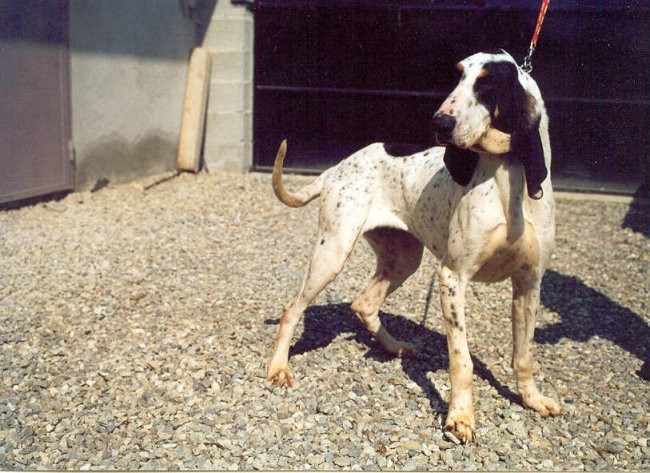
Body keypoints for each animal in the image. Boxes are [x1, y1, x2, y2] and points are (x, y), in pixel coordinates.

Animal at [266, 51, 561, 443]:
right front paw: (460, 417)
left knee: (364, 303)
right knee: (292, 308)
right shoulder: (452, 277)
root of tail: (337, 167)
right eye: (457, 76)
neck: (506, 174)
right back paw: (278, 367)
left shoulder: (529, 283)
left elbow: (524, 355)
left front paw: (532, 399)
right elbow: (462, 360)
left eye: (487, 84)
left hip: (404, 258)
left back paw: (396, 347)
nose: (439, 122)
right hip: (333, 252)